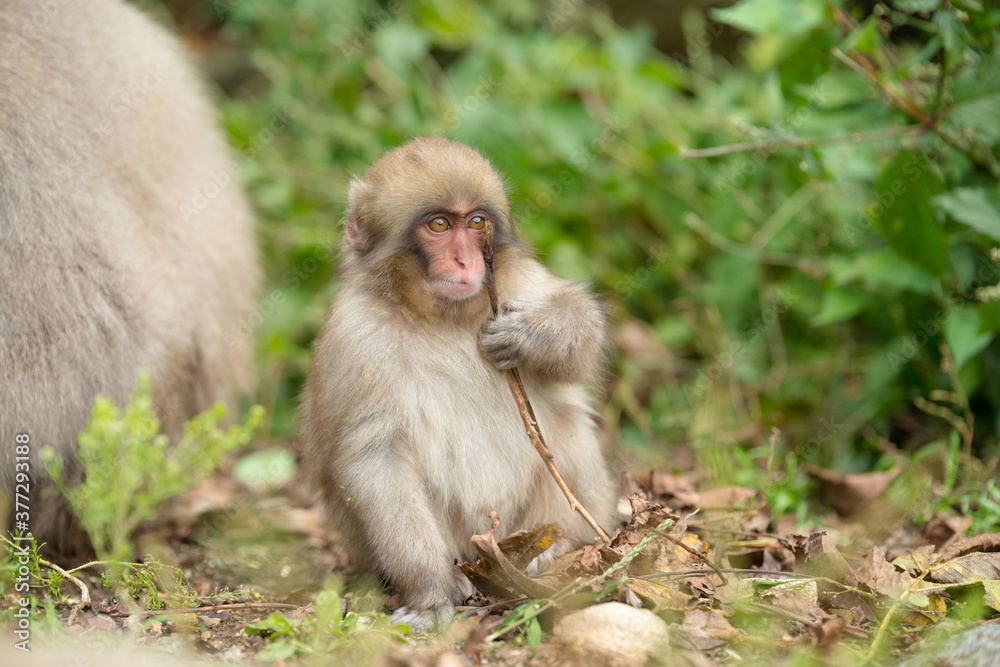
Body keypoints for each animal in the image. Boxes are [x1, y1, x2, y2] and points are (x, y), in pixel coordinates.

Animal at [300, 137, 616, 632]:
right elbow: (375, 458)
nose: (466, 260)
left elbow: (581, 338)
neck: (440, 315)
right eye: (439, 224)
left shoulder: (514, 280)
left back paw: (563, 545)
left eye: (476, 222)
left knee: (565, 423)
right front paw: (430, 590)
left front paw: (532, 336)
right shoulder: (356, 335)